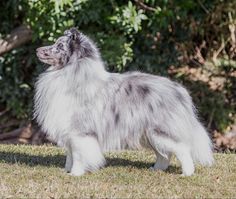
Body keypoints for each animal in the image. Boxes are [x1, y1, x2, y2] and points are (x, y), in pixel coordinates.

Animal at [34, 28, 214, 176]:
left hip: (161, 131)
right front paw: (67, 171)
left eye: (59, 46)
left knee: (182, 150)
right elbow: (70, 155)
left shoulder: (80, 132)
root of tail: (180, 91)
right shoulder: (69, 130)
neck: (71, 73)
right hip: (149, 134)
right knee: (164, 154)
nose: (37, 50)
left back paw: (187, 173)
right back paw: (156, 169)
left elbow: (78, 155)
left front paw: (76, 174)